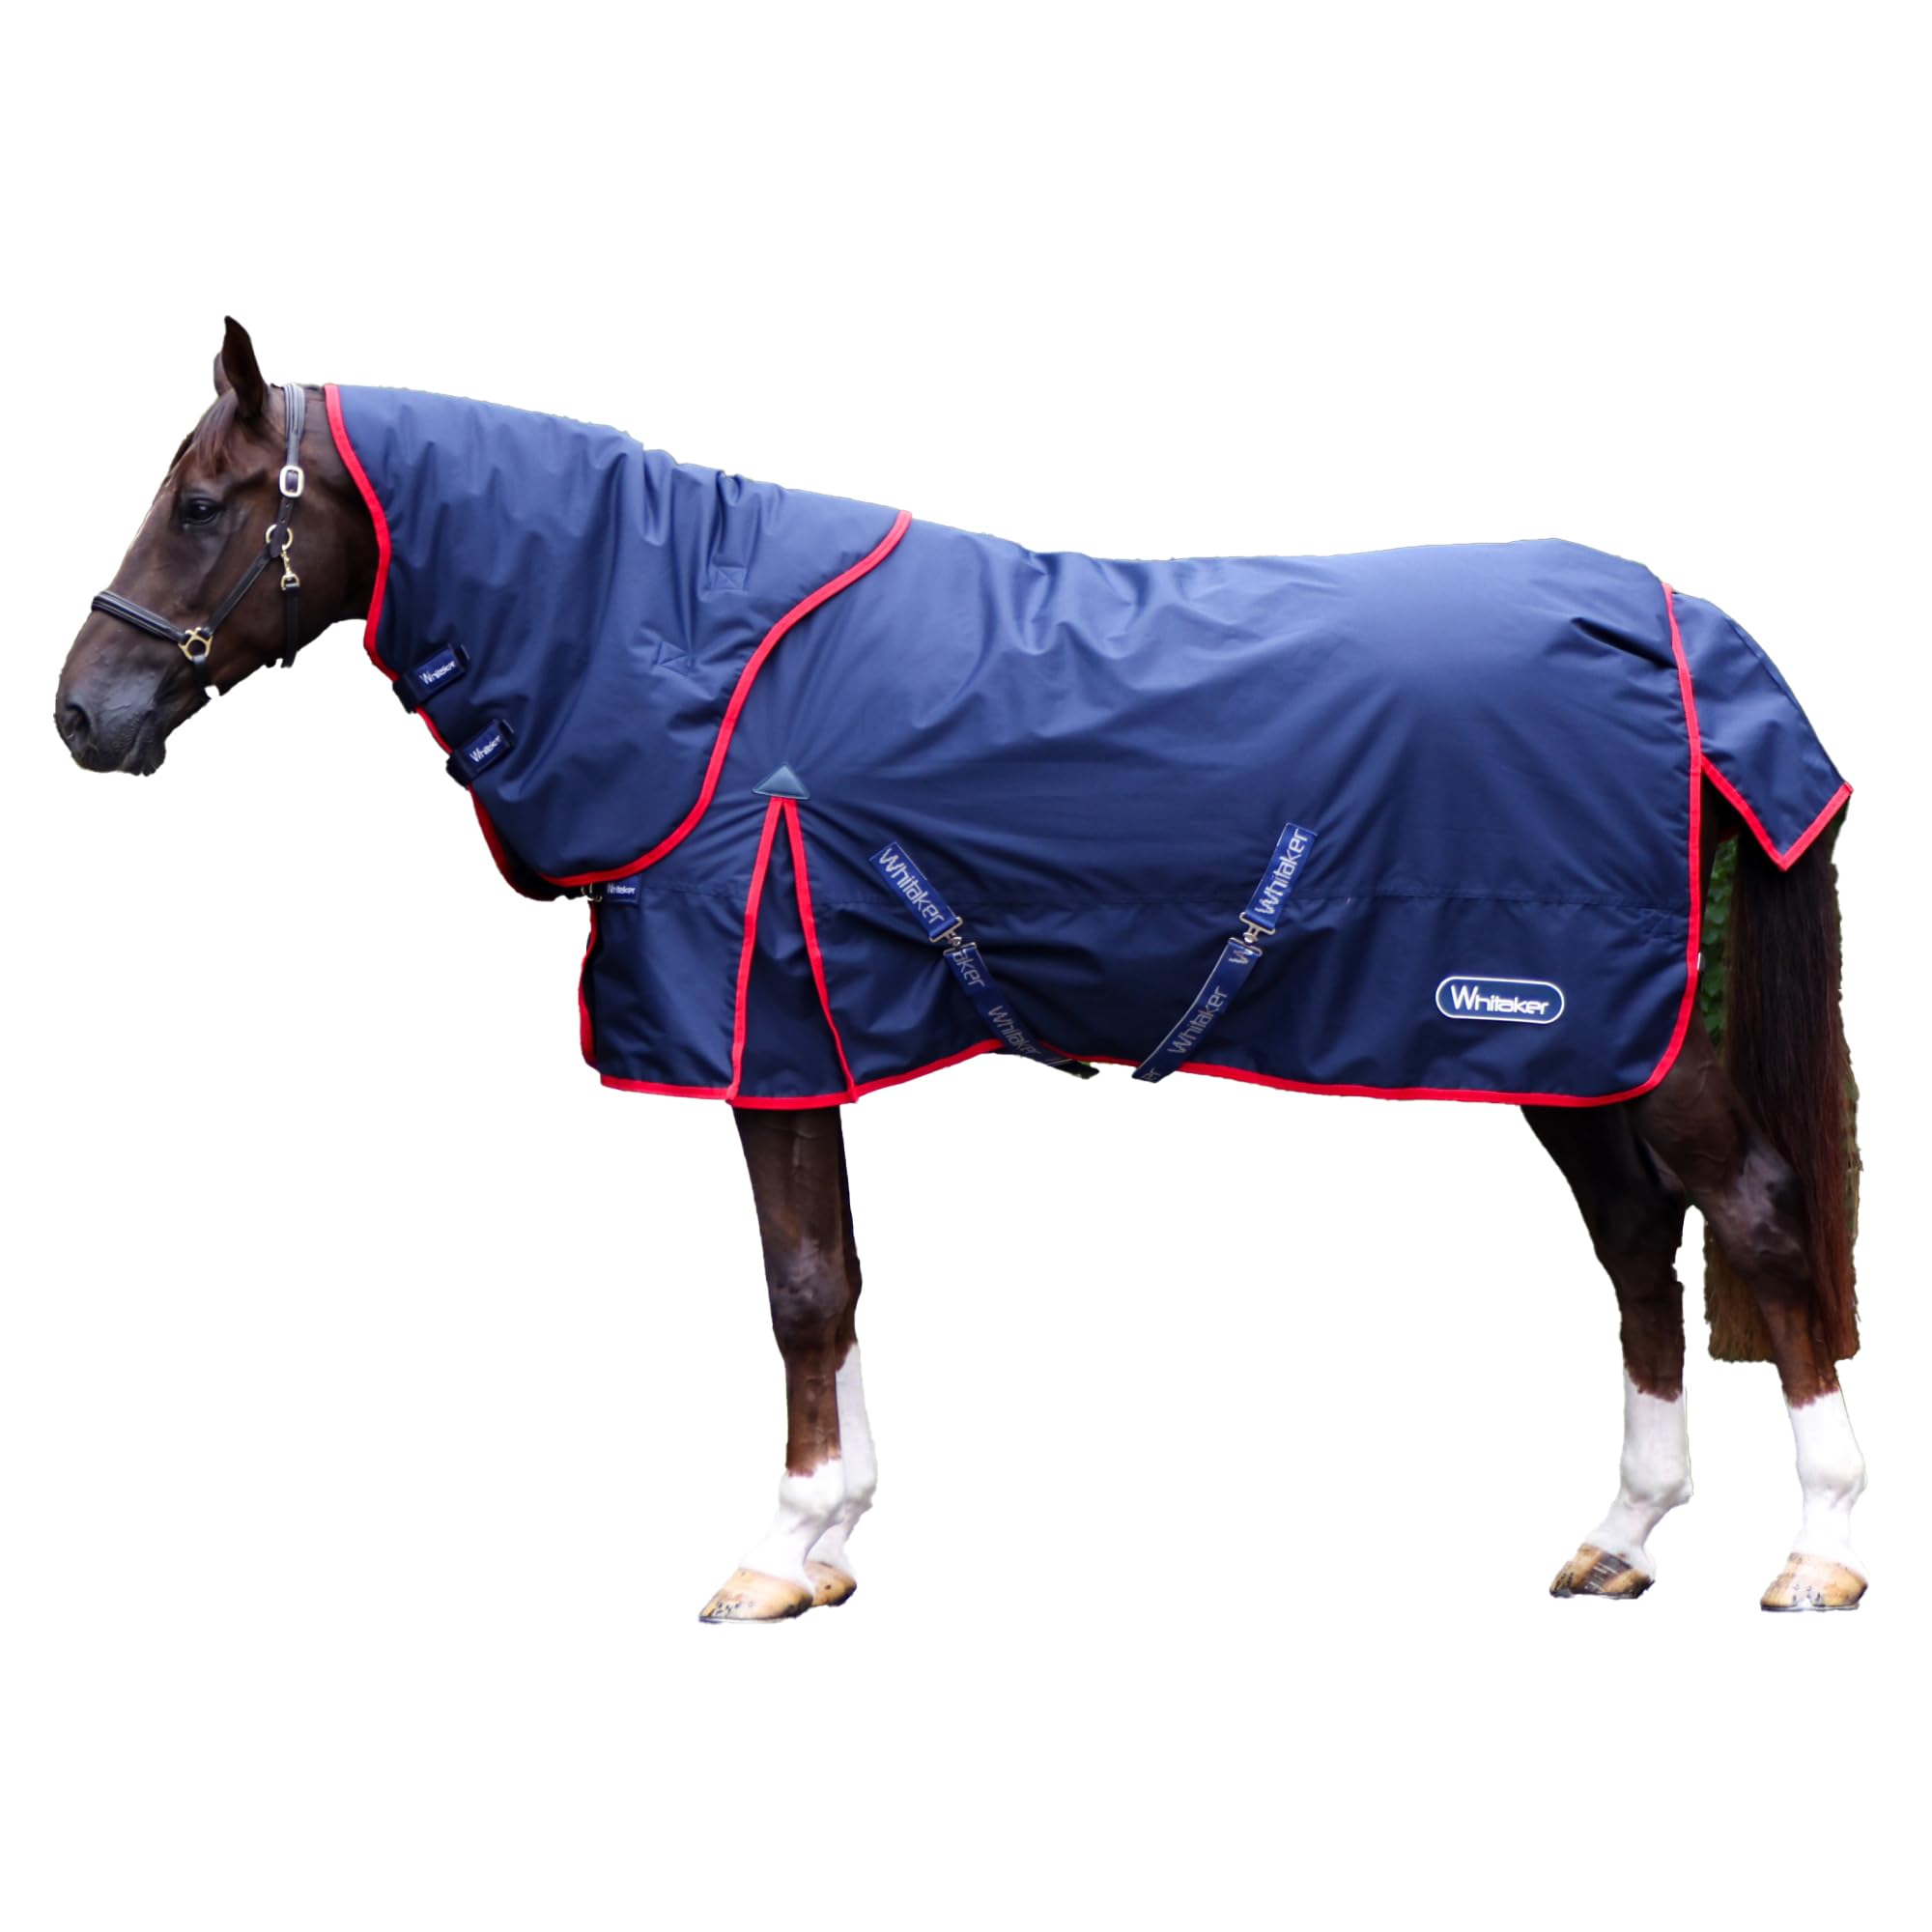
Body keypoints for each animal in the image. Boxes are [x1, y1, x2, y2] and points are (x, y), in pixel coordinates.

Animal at [54, 320, 1866, 1618]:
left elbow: (798, 1288)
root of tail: (1681, 622)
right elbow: (837, 1279)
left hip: (1639, 1045)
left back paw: (1822, 1551)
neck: (691, 653)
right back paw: (1621, 1536)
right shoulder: (802, 1036)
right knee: (1637, 1252)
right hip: (1568, 1047)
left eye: (201, 505)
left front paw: (777, 1553)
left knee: (1760, 1221)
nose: (83, 712)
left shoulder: (759, 1022)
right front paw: (837, 1537)